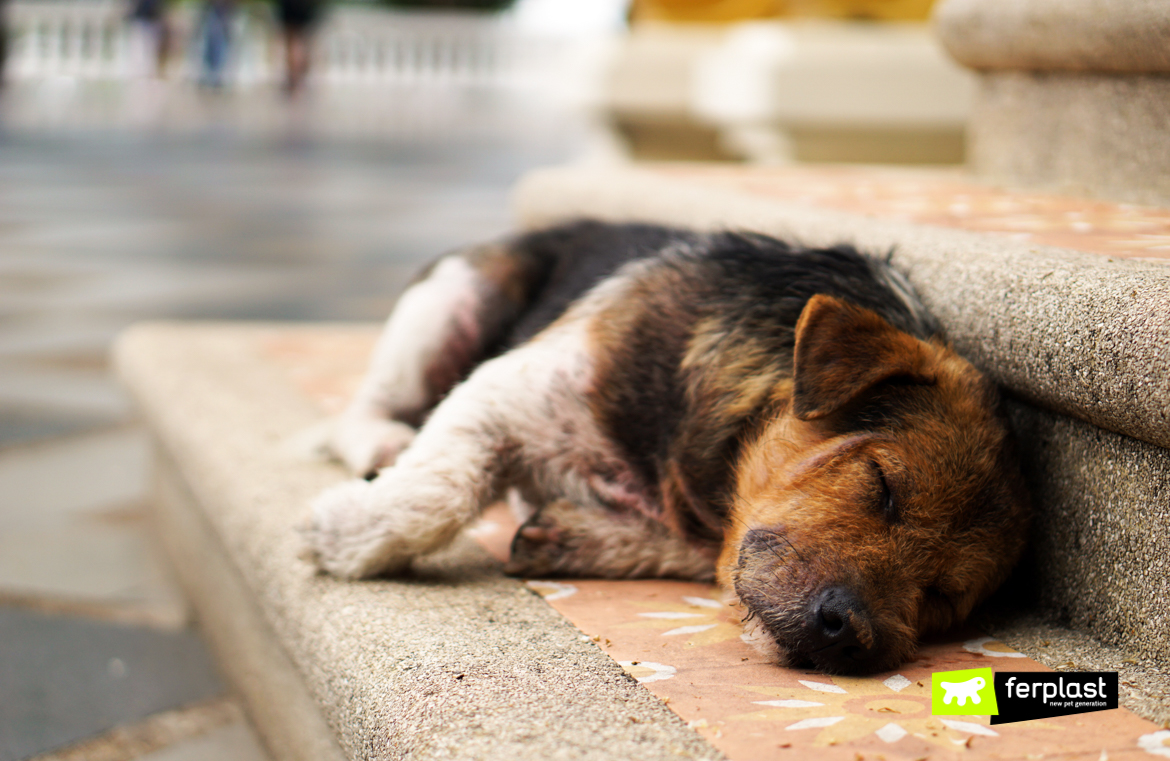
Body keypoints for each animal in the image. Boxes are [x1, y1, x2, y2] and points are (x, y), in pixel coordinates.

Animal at [306, 221, 1029, 674]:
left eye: (943, 597)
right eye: (882, 485)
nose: (853, 636)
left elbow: (695, 550)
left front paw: (574, 535)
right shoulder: (510, 389)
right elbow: (438, 491)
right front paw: (344, 535)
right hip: (450, 300)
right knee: (359, 410)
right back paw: (380, 443)